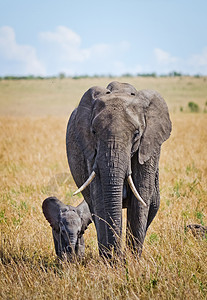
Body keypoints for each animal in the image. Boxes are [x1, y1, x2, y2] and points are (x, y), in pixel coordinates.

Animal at [66, 82, 171, 258]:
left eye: (136, 134)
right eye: (94, 132)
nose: (118, 257)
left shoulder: (149, 148)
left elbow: (140, 198)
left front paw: (132, 260)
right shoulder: (91, 151)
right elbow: (100, 199)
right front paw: (111, 260)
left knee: (153, 206)